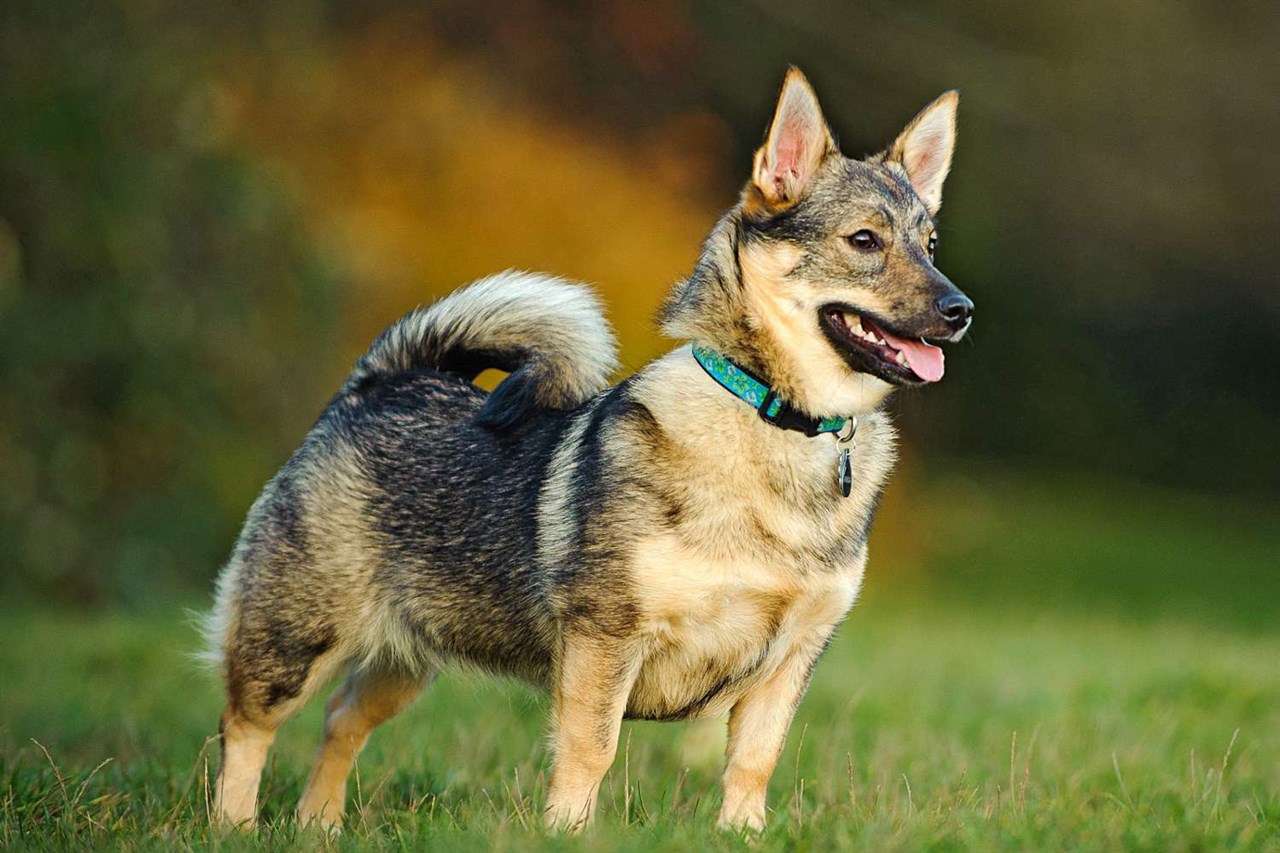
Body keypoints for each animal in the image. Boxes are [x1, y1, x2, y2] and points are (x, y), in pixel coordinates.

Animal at [207, 68, 967, 829]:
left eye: (930, 245)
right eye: (863, 240)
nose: (960, 309)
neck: (776, 421)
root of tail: (381, 381)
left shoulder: (792, 657)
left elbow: (754, 763)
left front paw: (744, 837)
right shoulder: (606, 638)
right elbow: (590, 752)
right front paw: (567, 833)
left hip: (407, 655)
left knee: (342, 719)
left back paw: (319, 826)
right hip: (294, 637)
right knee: (245, 727)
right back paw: (234, 823)